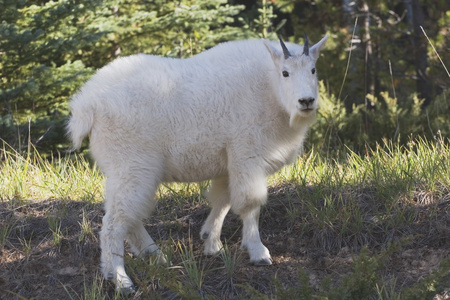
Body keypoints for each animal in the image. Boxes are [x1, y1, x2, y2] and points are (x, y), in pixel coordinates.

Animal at [66, 33, 326, 292]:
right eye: (285, 72)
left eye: (313, 69)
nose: (306, 101)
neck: (269, 88)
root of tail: (86, 104)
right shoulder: (247, 154)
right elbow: (250, 203)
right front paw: (258, 252)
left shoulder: (227, 163)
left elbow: (222, 200)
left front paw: (211, 243)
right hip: (132, 165)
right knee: (114, 222)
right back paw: (121, 279)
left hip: (131, 170)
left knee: (128, 215)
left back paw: (155, 255)